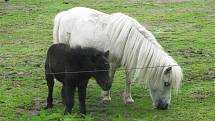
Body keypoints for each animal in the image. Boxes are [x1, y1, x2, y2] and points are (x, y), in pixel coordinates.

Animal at [53, 6, 182, 109]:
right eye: (166, 83)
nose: (164, 106)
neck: (127, 41)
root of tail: (64, 14)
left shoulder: (128, 65)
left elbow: (128, 81)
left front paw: (128, 99)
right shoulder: (111, 64)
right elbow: (110, 79)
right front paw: (106, 97)